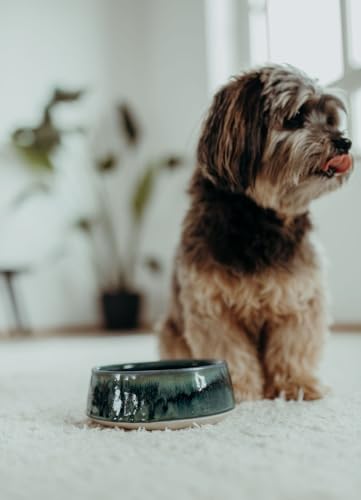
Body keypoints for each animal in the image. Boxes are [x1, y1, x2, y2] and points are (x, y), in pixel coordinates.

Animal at [158, 65, 352, 402]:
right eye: (296, 117)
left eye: (330, 119)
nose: (345, 142)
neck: (259, 220)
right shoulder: (213, 307)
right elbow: (229, 350)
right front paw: (239, 388)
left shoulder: (299, 296)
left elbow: (293, 347)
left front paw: (297, 383)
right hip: (169, 329)